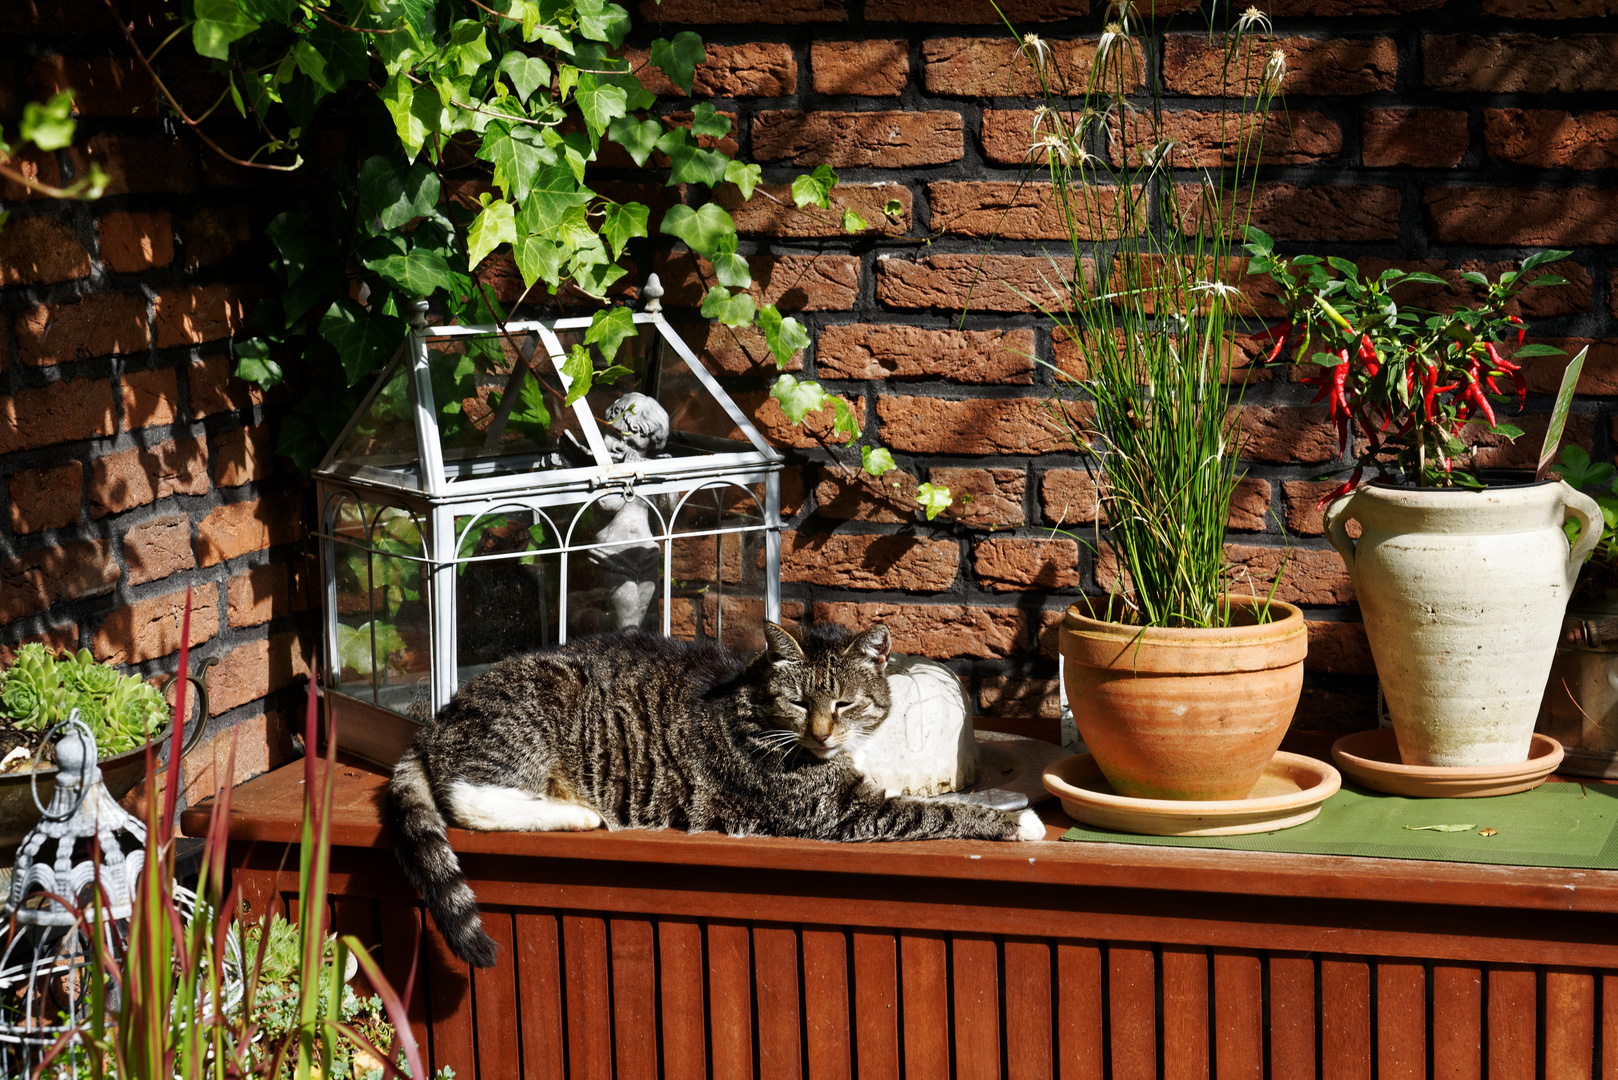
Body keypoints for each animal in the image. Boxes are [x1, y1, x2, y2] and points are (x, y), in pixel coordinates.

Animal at [391, 621, 1048, 965]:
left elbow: (957, 799)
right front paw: (1019, 825)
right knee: (469, 798)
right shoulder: (843, 811)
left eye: (843, 704)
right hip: (533, 719)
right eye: (799, 702)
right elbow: (934, 812)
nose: (822, 732)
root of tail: (435, 722)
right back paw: (575, 815)